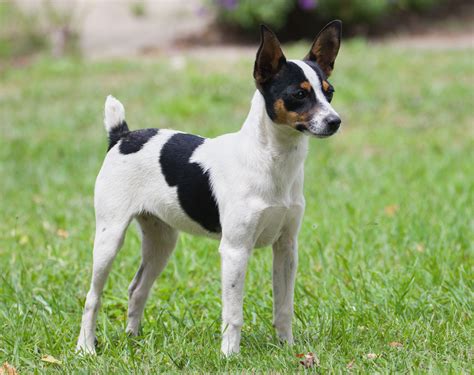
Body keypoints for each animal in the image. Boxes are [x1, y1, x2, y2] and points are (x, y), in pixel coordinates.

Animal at [78, 19, 342, 356]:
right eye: (299, 94)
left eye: (329, 92)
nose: (335, 121)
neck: (271, 161)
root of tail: (122, 136)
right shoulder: (235, 250)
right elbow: (233, 313)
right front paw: (230, 355)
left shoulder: (286, 247)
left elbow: (284, 306)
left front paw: (287, 348)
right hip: (109, 238)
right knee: (92, 297)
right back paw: (86, 346)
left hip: (162, 242)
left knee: (137, 288)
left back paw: (133, 339)